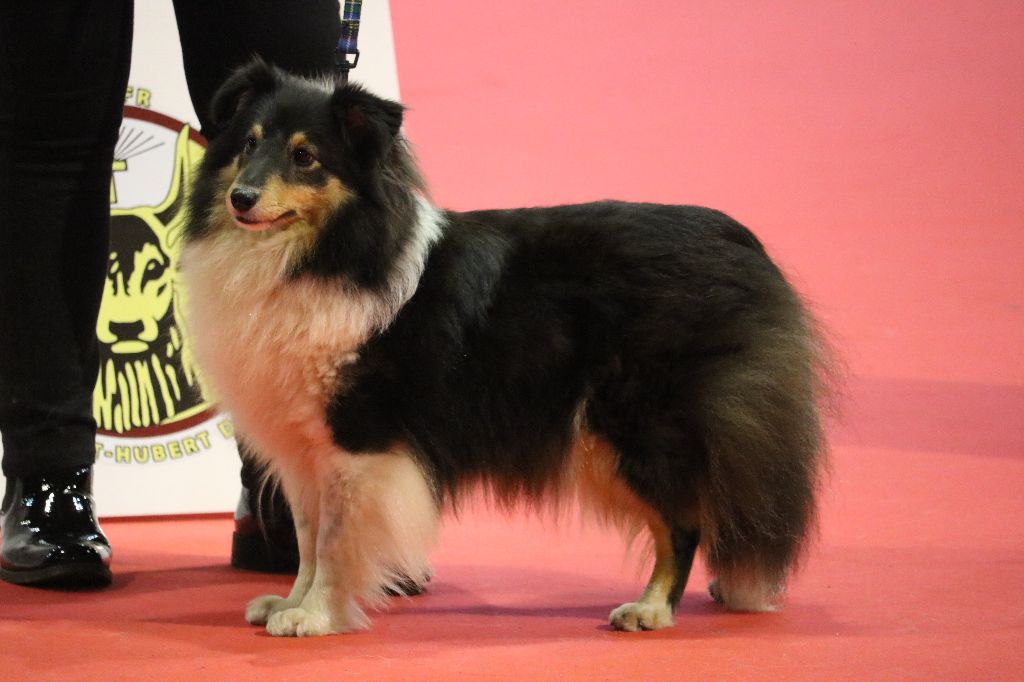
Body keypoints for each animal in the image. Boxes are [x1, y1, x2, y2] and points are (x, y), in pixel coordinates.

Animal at [181, 59, 831, 637]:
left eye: (305, 156)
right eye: (247, 144)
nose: (241, 197)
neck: (322, 254)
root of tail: (741, 241)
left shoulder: (357, 438)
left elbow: (336, 541)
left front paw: (315, 617)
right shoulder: (305, 446)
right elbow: (310, 538)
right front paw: (289, 603)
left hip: (634, 426)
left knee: (683, 521)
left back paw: (649, 610)